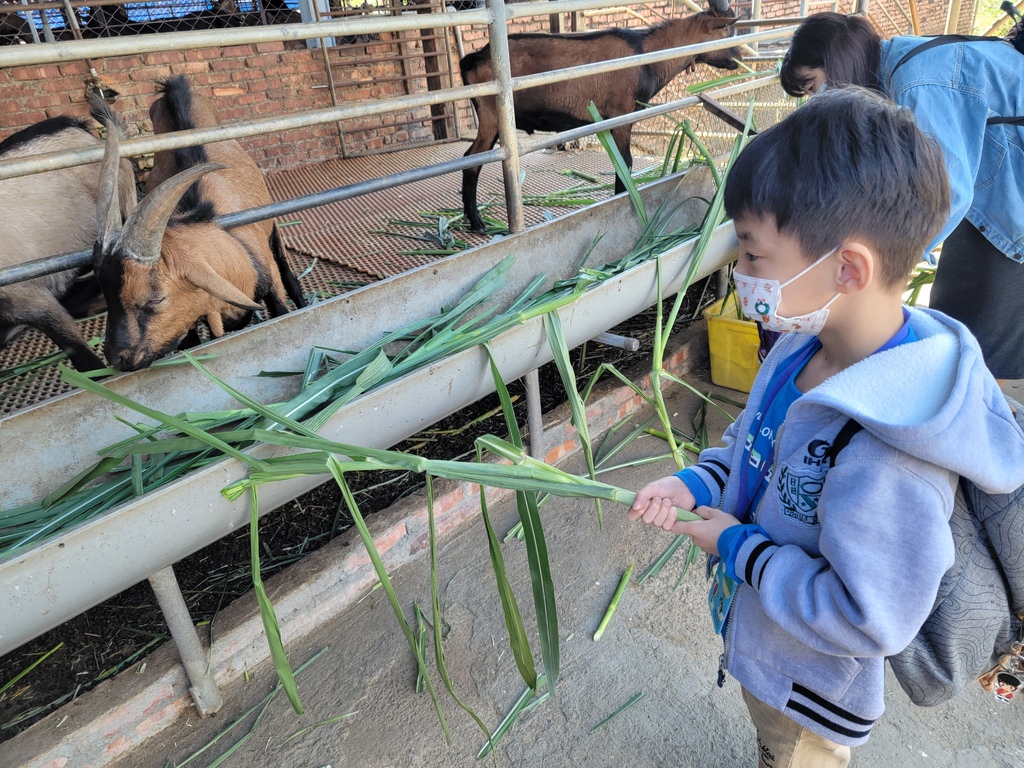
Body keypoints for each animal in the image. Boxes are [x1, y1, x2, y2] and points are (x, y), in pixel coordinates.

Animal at [93, 75, 303, 372]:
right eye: (104, 292)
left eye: (156, 298)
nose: (117, 358)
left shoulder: (269, 279)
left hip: (273, 229)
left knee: (288, 271)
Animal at [460, 0, 741, 234]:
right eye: (728, 28)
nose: (738, 59)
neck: (646, 53)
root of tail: (475, 57)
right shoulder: (621, 115)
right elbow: (625, 164)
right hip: (491, 116)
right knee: (472, 161)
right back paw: (477, 223)